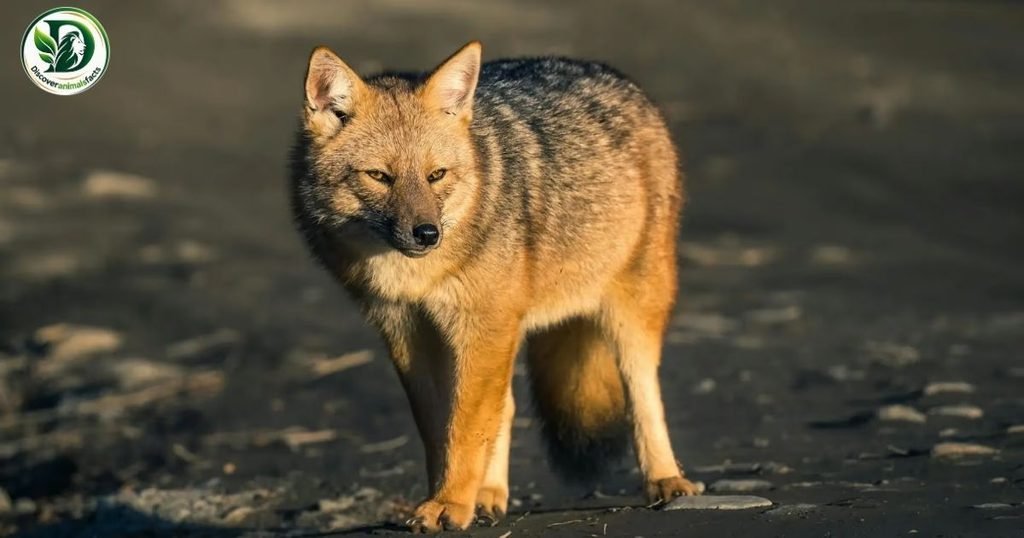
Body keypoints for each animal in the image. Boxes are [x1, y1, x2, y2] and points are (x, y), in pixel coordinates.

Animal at [290, 41, 699, 533]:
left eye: (436, 175)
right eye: (380, 177)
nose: (426, 234)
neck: (415, 277)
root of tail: (603, 71)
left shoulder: (480, 326)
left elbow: (465, 428)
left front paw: (449, 503)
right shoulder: (408, 332)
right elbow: (443, 429)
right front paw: (448, 498)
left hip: (630, 311)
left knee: (642, 393)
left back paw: (666, 480)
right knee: (506, 407)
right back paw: (488, 496)